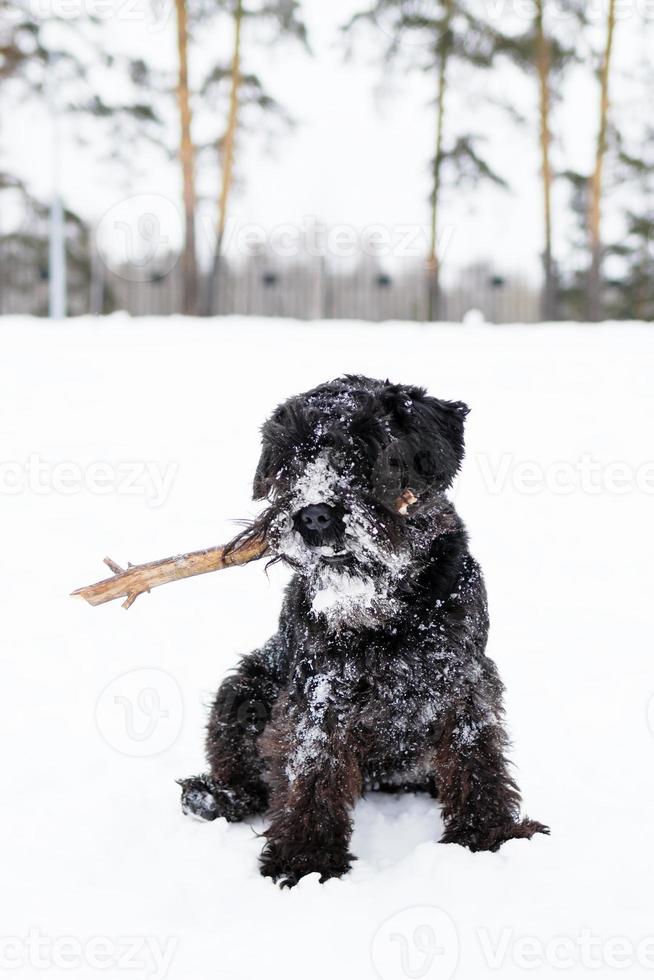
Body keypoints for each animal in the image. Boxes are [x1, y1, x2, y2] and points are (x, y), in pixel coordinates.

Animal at [181, 376, 548, 888]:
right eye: (290, 460)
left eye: (369, 450)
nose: (314, 515)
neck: (388, 612)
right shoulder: (320, 693)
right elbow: (311, 770)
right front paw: (306, 861)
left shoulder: (462, 682)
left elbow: (475, 756)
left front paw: (488, 835)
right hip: (242, 689)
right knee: (246, 778)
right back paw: (212, 796)